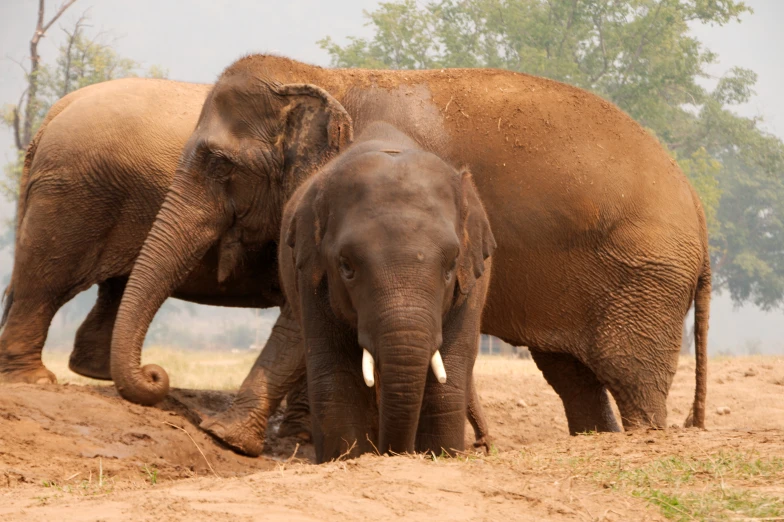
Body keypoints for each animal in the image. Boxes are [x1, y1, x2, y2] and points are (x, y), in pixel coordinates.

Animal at [278, 121, 494, 460]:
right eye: (346, 267)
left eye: (450, 266)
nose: (483, 445)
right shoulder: (310, 276)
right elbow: (336, 376)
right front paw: (350, 457)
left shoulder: (472, 284)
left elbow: (449, 377)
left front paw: (440, 454)